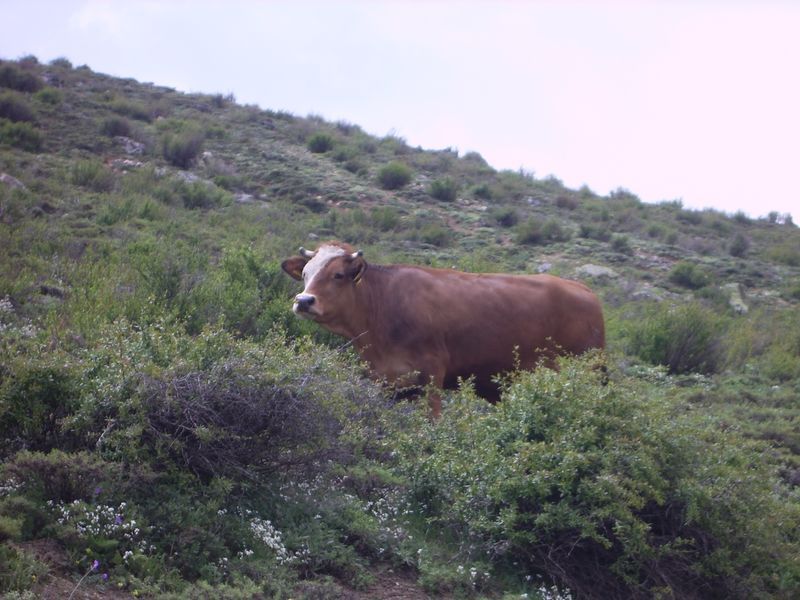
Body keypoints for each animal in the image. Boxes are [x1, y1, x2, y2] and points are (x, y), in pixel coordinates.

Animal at [282, 241, 608, 420]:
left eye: (338, 274)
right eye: (306, 273)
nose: (304, 300)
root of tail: (583, 290)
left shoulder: (432, 373)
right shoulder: (385, 379)